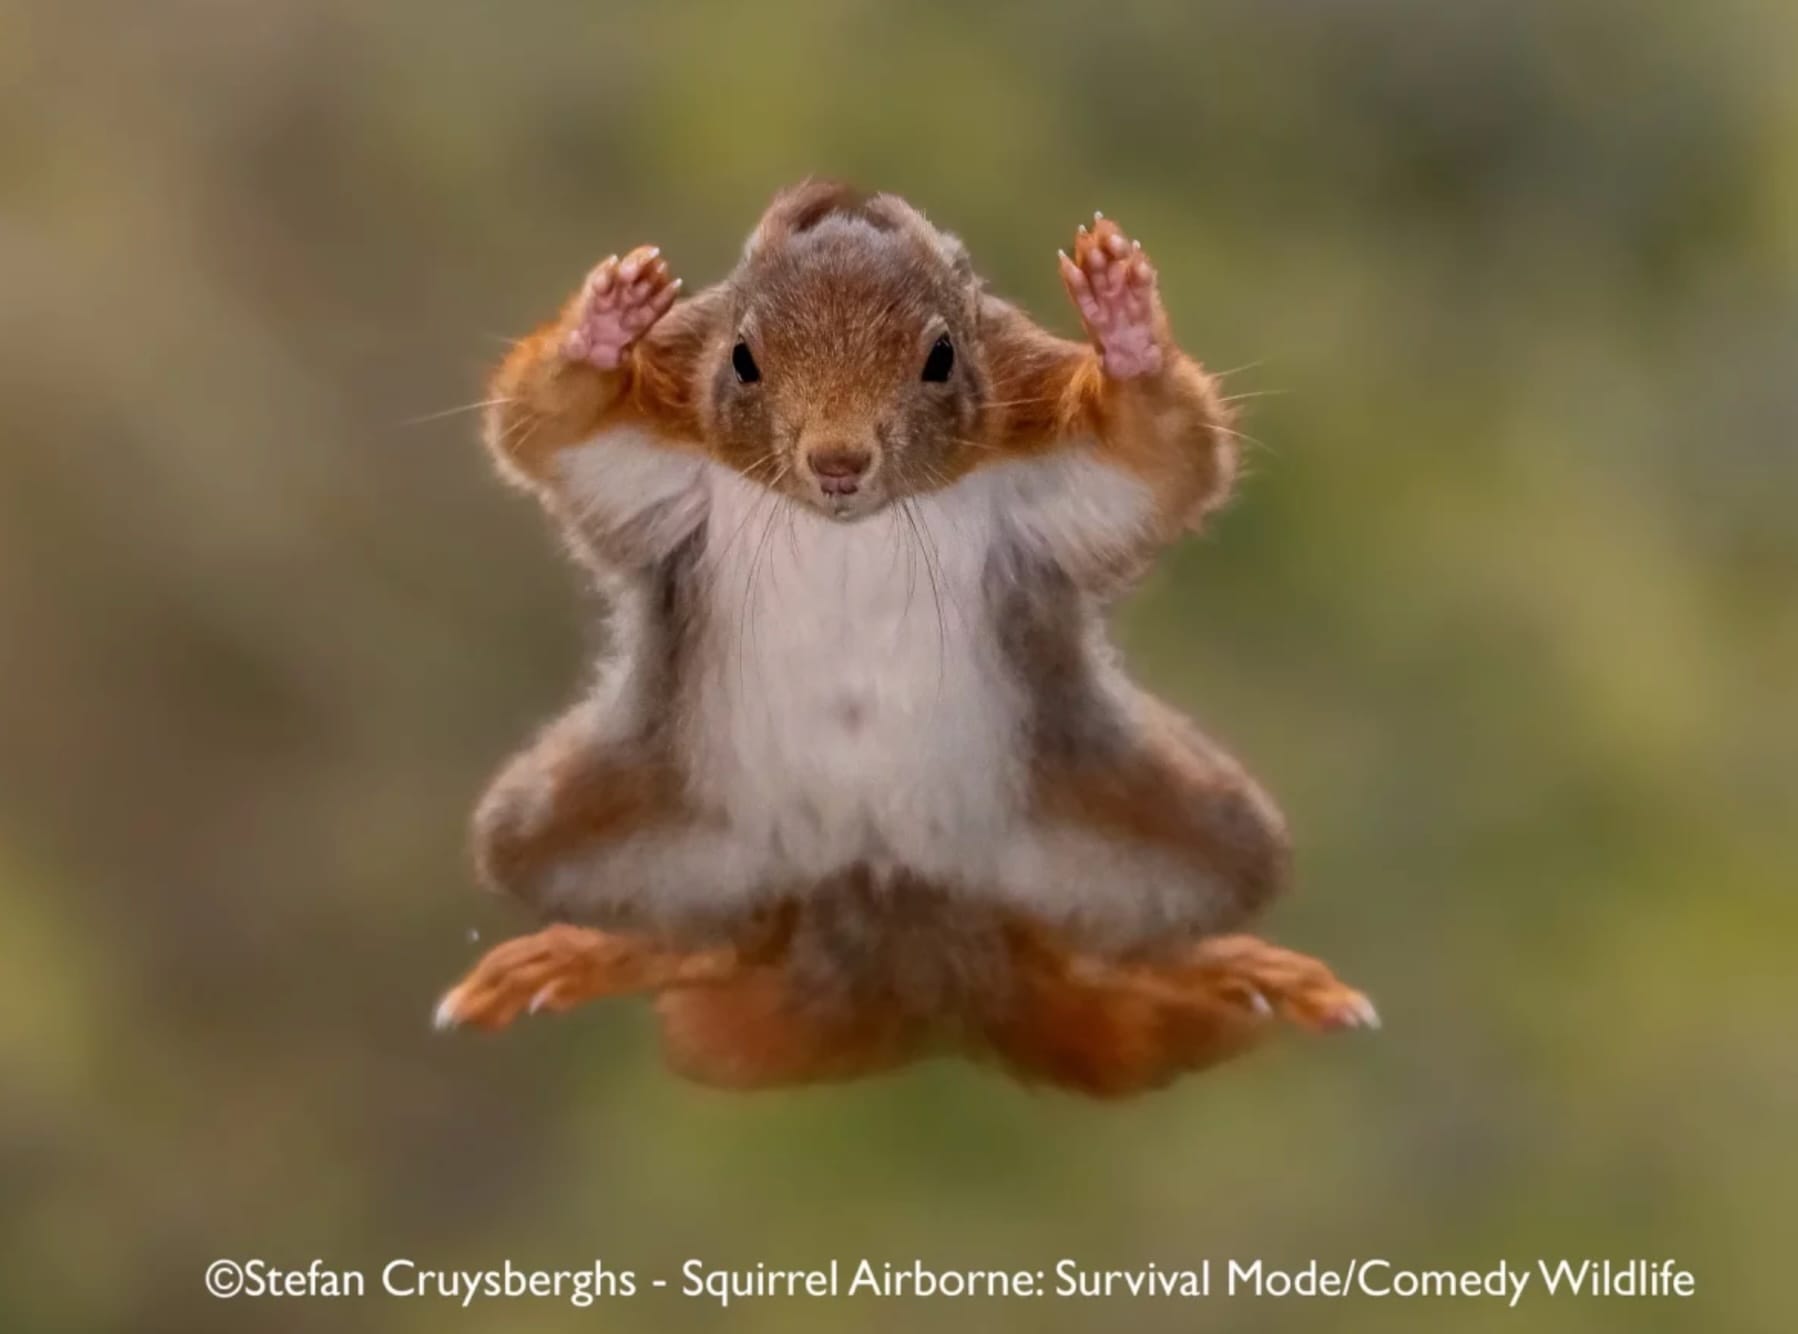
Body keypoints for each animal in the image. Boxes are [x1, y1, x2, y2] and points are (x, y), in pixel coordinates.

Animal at [433, 182, 1375, 1097]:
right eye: (742, 358)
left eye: (942, 357)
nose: (838, 463)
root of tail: (893, 919)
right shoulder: (660, 442)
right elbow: (549, 431)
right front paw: (601, 330)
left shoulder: (1041, 447)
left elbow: (1161, 460)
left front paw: (1128, 330)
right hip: (593, 821)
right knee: (722, 938)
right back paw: (597, 953)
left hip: (1164, 821)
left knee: (1092, 946)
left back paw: (1223, 969)